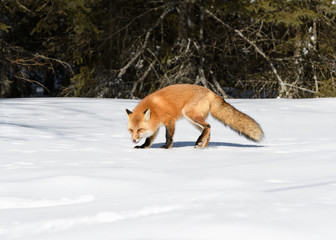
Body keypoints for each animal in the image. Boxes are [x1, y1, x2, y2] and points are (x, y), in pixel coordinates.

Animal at [125, 84, 262, 148]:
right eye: (131, 130)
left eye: (140, 129)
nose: (134, 140)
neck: (154, 109)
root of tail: (210, 92)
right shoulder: (156, 126)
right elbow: (149, 139)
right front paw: (143, 147)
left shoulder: (170, 121)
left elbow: (168, 136)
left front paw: (166, 147)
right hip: (193, 120)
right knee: (208, 131)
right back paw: (202, 145)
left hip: (189, 114)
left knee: (208, 126)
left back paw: (199, 142)